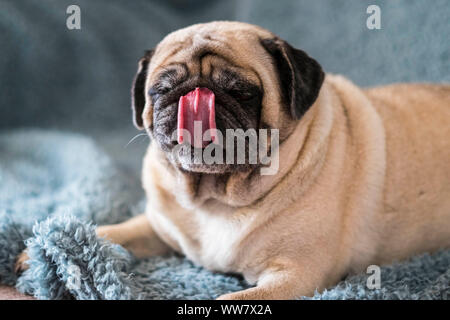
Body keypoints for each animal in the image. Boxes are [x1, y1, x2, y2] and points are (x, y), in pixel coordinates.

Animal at [16, 21, 450, 298]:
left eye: (242, 92)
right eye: (161, 90)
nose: (193, 97)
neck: (216, 197)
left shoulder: (295, 276)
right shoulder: (158, 227)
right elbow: (113, 231)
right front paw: (35, 253)